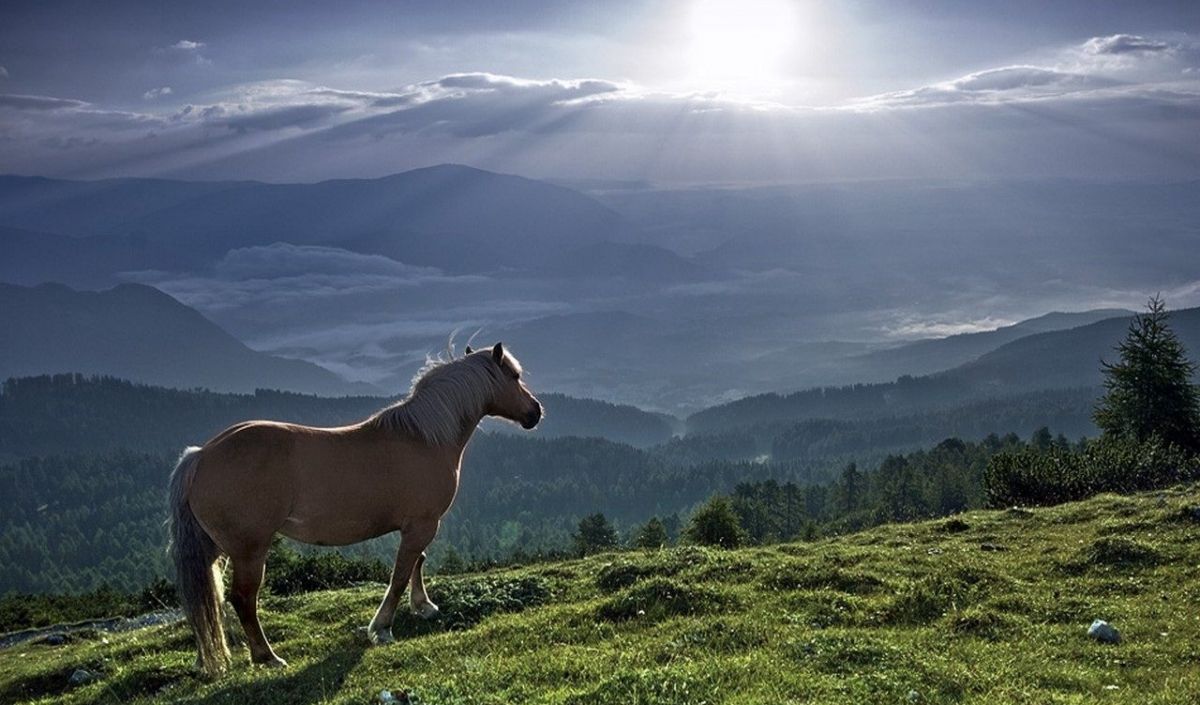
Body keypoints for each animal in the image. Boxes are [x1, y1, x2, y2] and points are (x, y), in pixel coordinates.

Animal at [166, 345, 542, 676]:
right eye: (514, 375)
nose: (536, 412)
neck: (424, 438)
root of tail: (200, 457)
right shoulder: (422, 524)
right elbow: (400, 574)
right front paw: (383, 628)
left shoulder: (418, 525)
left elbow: (417, 562)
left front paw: (423, 607)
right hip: (249, 551)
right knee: (242, 599)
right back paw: (267, 657)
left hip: (215, 550)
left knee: (206, 599)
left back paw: (207, 659)